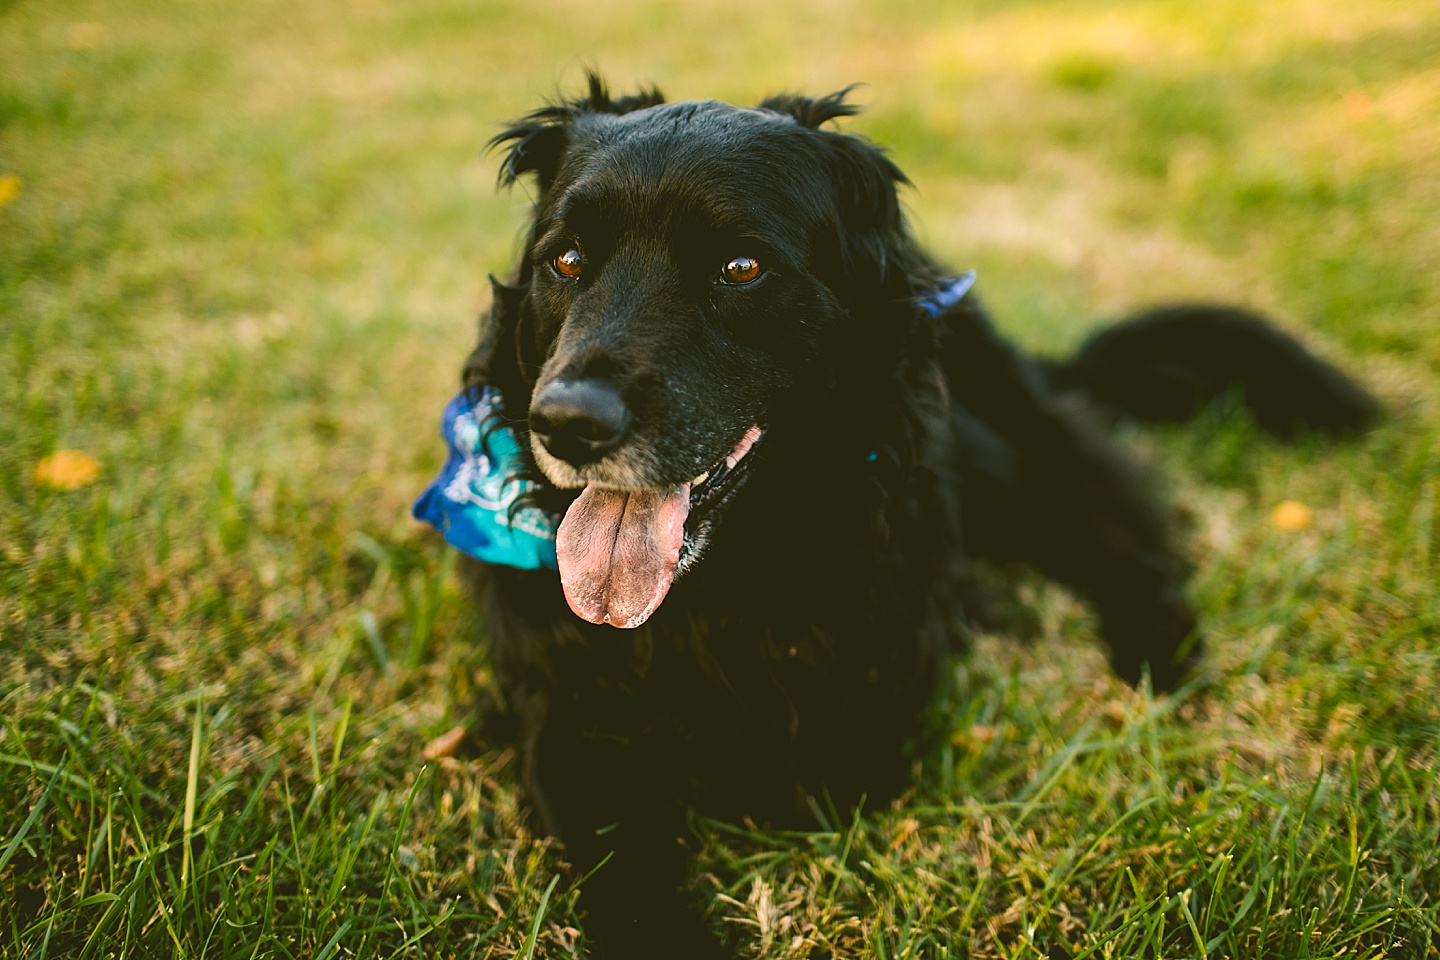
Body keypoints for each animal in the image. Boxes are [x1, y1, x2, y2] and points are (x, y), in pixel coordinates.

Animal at [432, 77, 1376, 960]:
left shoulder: (867, 698)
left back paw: (1159, 654)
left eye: (741, 268)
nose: (568, 423)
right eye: (566, 261)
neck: (714, 586)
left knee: (1120, 526)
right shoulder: (565, 719)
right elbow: (627, 869)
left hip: (1015, 451)